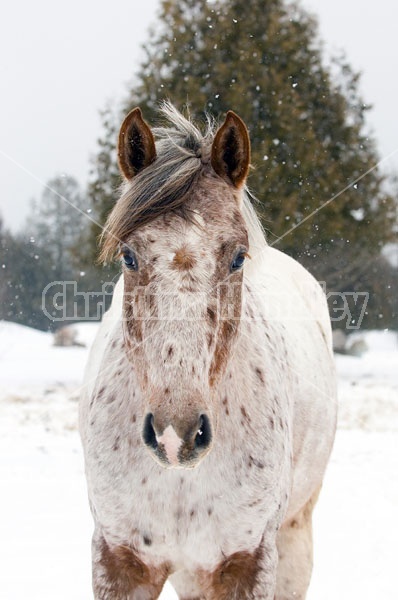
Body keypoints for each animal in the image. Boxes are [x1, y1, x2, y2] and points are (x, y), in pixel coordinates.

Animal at [80, 104, 336, 600]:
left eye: (237, 257)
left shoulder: (247, 563)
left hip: (295, 541)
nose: (175, 434)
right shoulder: (119, 560)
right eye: (128, 256)